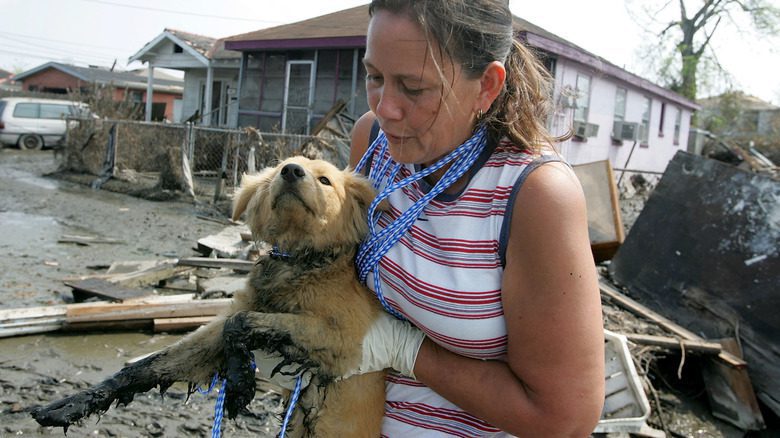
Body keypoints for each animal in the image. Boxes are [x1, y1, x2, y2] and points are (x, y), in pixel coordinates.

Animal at [32, 157, 386, 434]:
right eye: (281, 167)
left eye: (325, 179)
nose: (290, 171)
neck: (300, 262)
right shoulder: (233, 320)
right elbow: (148, 365)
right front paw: (69, 405)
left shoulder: (344, 343)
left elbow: (240, 323)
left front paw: (240, 385)